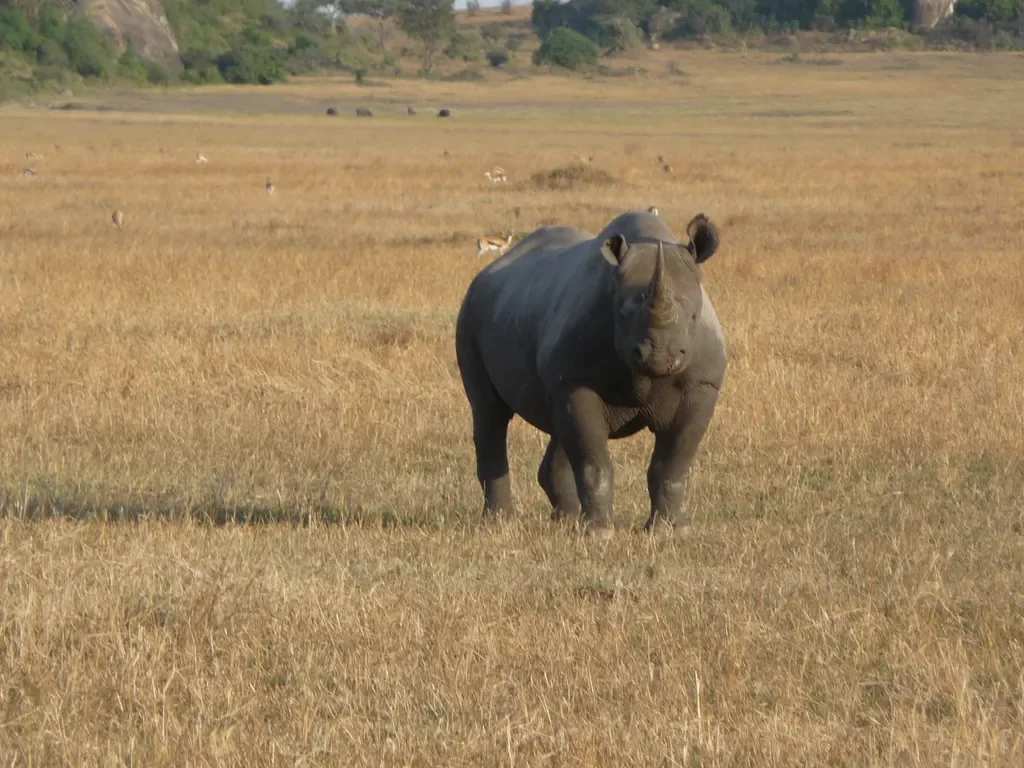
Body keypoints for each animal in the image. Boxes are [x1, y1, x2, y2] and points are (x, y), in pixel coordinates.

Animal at [455, 210, 725, 536]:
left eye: (695, 317)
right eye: (621, 315)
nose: (659, 357)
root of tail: (486, 273)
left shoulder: (701, 385)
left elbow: (674, 461)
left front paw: (672, 530)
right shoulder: (577, 383)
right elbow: (593, 460)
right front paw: (598, 533)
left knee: (555, 423)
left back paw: (565, 519)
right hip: (470, 312)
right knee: (489, 411)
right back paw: (500, 522)